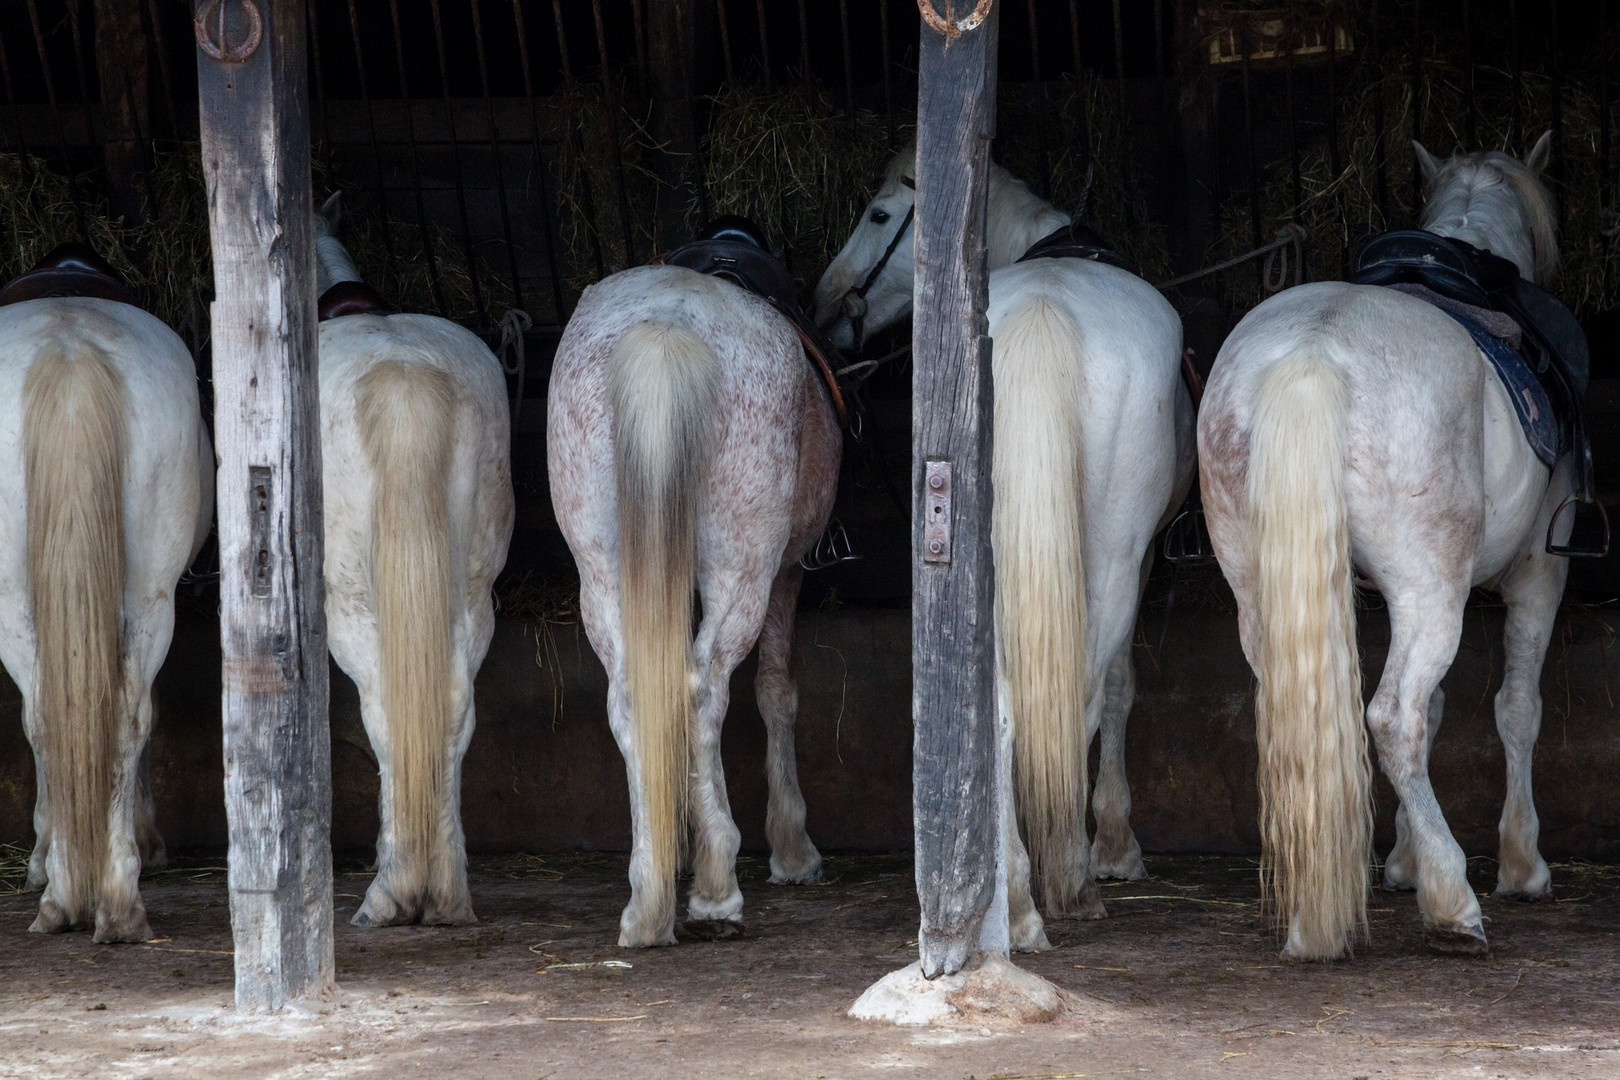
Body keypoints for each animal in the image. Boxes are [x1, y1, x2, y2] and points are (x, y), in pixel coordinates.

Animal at [0, 254, 212, 939]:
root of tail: (70, 352)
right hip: (147, 597)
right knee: (120, 713)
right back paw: (117, 901)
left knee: (50, 715)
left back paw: (65, 890)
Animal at [314, 196, 511, 932]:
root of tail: (402, 380)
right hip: (473, 590)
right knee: (452, 700)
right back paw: (446, 892)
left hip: (350, 600)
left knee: (382, 709)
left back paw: (391, 890)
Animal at [550, 262, 842, 945]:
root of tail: (667, 326)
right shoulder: (786, 572)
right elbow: (777, 691)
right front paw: (793, 849)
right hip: (743, 568)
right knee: (703, 688)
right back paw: (716, 885)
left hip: (602, 570)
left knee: (636, 695)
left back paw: (648, 896)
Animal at [816, 148, 1198, 952]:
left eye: (877, 213)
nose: (828, 303)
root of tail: (1043, 314)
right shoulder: (1139, 558)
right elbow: (1119, 689)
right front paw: (1115, 847)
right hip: (1111, 562)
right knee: (1076, 697)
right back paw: (1068, 878)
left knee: (999, 708)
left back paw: (1015, 900)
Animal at [1198, 131, 1561, 958]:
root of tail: (1313, 354)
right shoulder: (1537, 574)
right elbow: (1515, 707)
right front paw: (1520, 862)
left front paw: (1399, 860)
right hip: (1432, 592)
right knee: (1395, 718)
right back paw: (1453, 901)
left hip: (1266, 594)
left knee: (1309, 723)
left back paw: (1315, 919)